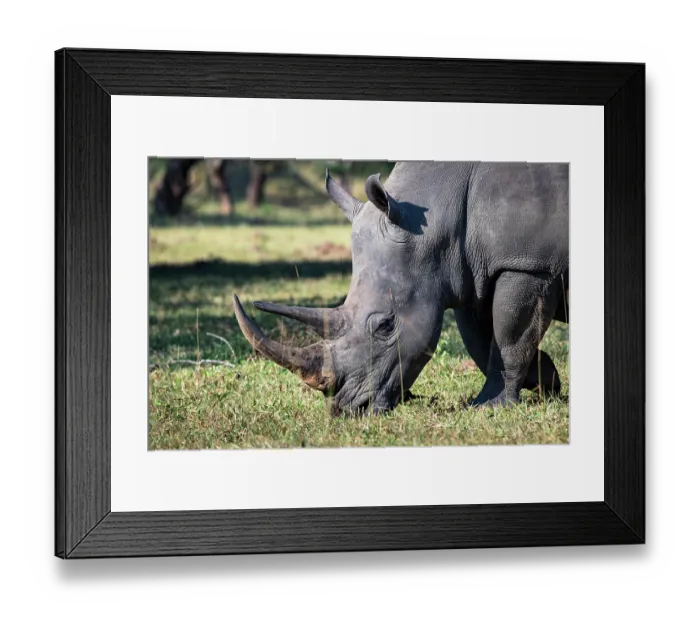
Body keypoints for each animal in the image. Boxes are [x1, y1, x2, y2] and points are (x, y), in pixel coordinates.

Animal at [233, 161, 569, 414]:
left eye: (385, 325)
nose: (350, 409)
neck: (437, 217)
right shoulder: (469, 272)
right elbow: (481, 340)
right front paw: (547, 379)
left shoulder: (528, 264)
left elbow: (509, 337)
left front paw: (489, 406)